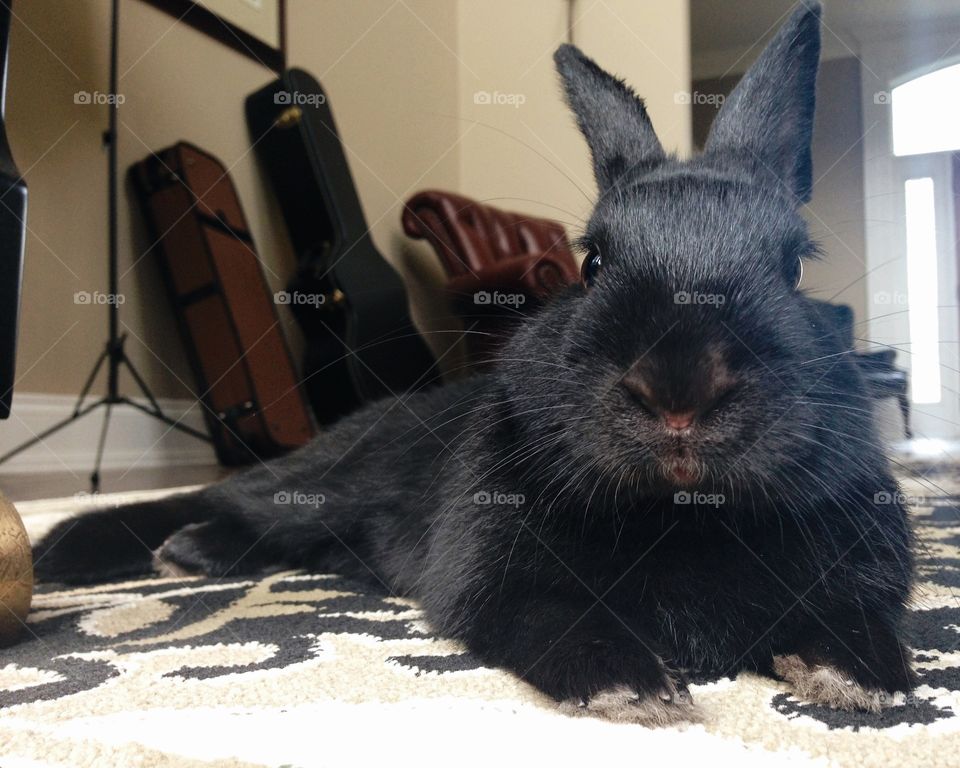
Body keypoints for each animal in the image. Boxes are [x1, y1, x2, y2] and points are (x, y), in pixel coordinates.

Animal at [34, 1, 916, 726]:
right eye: (592, 262)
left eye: (794, 266)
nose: (678, 391)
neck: (685, 511)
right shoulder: (491, 573)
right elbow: (550, 617)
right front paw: (635, 688)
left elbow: (856, 621)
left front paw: (858, 676)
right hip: (322, 479)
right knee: (229, 497)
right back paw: (92, 550)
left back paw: (189, 551)